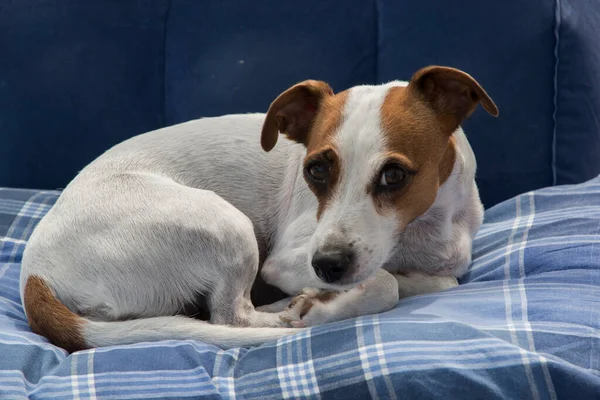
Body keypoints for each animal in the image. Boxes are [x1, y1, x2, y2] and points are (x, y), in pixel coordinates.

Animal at [18, 66, 496, 354]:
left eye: (394, 175)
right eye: (315, 170)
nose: (326, 266)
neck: (420, 231)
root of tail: (34, 273)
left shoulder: (445, 264)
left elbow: (435, 280)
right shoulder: (286, 260)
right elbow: (385, 283)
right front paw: (325, 304)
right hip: (228, 226)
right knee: (232, 317)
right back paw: (292, 312)